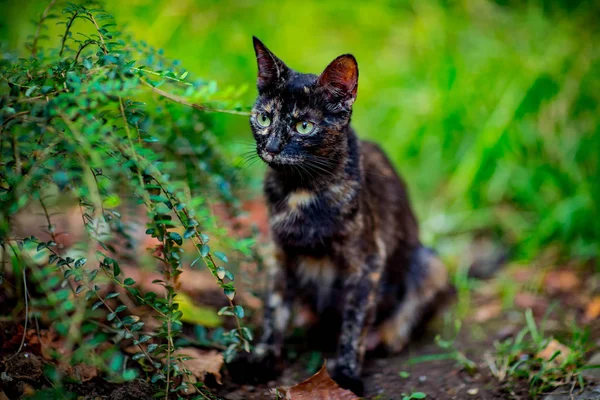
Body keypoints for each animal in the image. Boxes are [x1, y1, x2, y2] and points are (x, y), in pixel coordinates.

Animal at [246, 36, 448, 394]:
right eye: (264, 118)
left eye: (304, 126)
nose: (271, 147)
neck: (301, 192)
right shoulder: (279, 256)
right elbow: (274, 308)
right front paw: (265, 357)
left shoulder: (367, 262)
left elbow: (354, 323)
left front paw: (348, 373)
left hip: (432, 264)